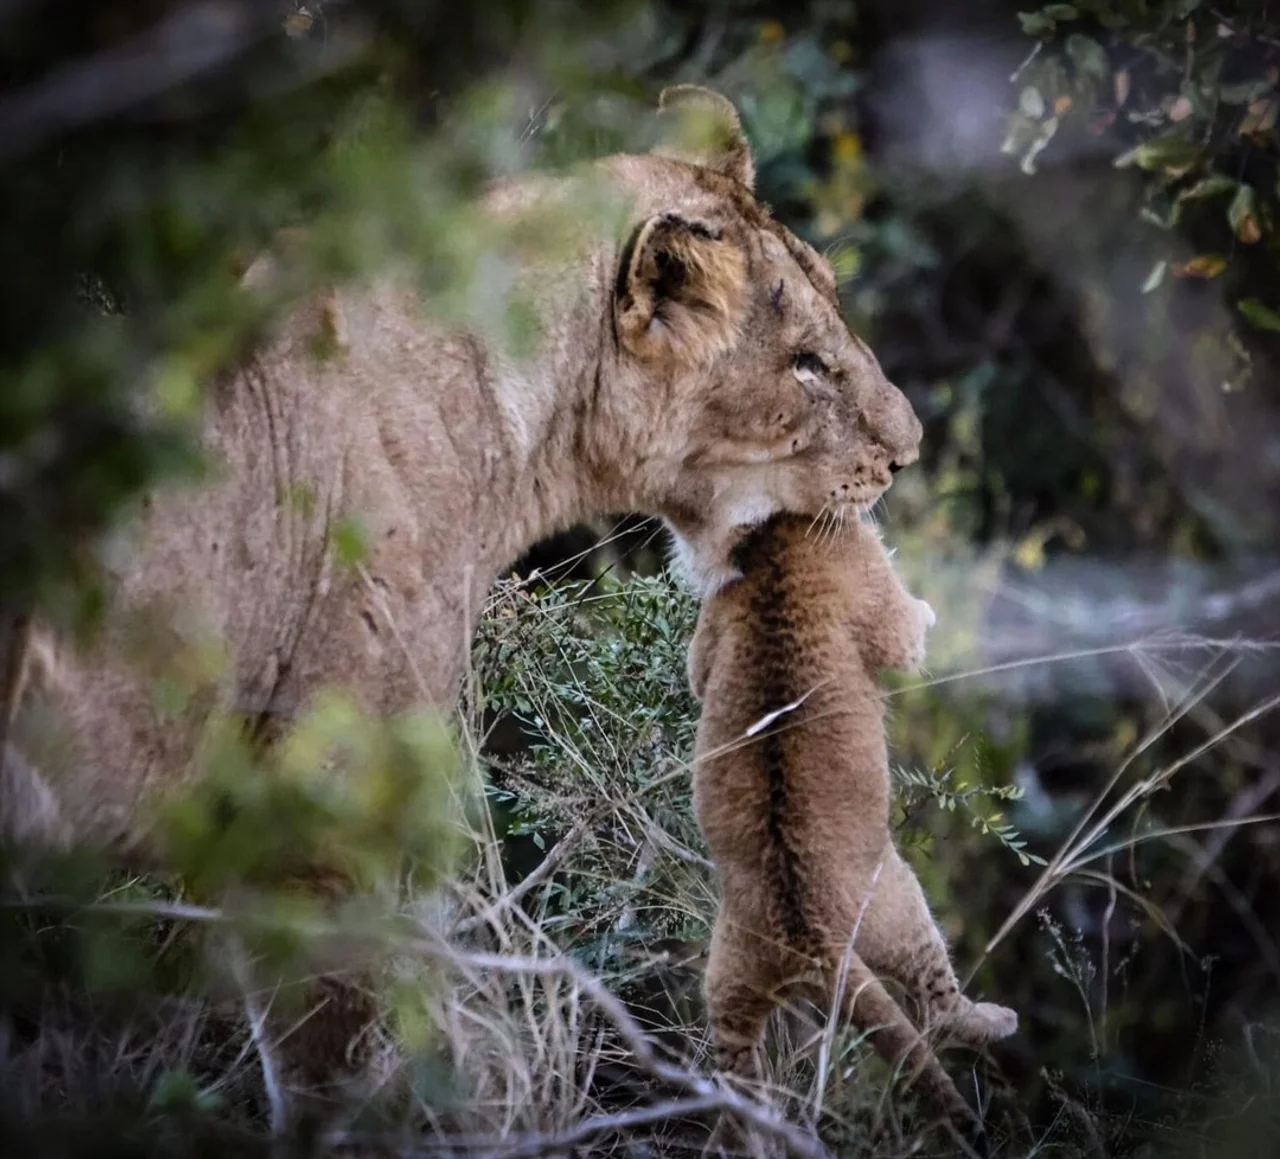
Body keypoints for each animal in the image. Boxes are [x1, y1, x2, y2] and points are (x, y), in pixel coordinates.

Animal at [687, 512, 1017, 1152]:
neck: (776, 542)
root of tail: (807, 936)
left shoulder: (712, 628)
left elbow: (696, 669)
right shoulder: (874, 591)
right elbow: (907, 635)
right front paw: (928, 610)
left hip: (728, 977)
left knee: (739, 1074)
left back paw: (750, 1135)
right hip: (900, 900)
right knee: (938, 1007)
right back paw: (995, 1020)